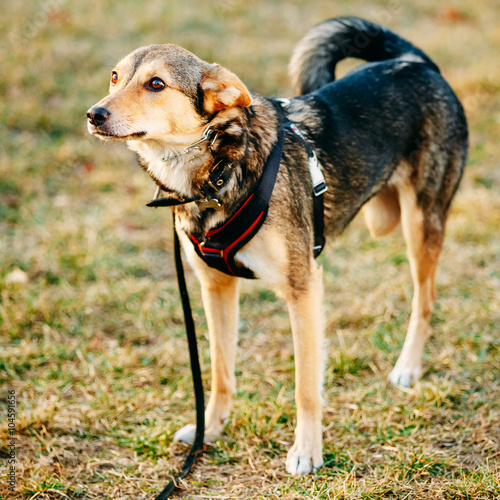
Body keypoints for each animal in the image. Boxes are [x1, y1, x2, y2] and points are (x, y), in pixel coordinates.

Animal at [87, 17, 468, 474]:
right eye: (114, 77)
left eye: (156, 83)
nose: (94, 114)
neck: (217, 170)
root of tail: (416, 62)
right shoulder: (215, 287)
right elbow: (220, 371)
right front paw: (209, 430)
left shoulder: (303, 289)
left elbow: (306, 385)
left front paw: (307, 451)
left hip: (420, 222)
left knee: (424, 300)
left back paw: (407, 368)